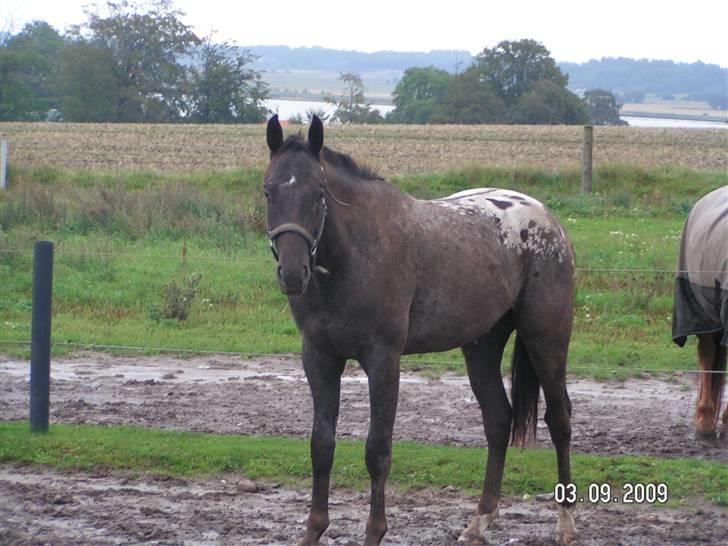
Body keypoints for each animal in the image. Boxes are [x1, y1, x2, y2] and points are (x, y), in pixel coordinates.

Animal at [264, 116, 576, 544]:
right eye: (268, 192)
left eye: (319, 193)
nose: (294, 274)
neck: (355, 253)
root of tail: (548, 218)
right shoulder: (320, 359)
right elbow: (321, 445)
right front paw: (314, 529)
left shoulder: (383, 360)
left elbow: (377, 450)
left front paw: (374, 532)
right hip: (481, 346)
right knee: (498, 420)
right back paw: (479, 522)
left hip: (546, 339)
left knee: (559, 419)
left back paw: (565, 523)